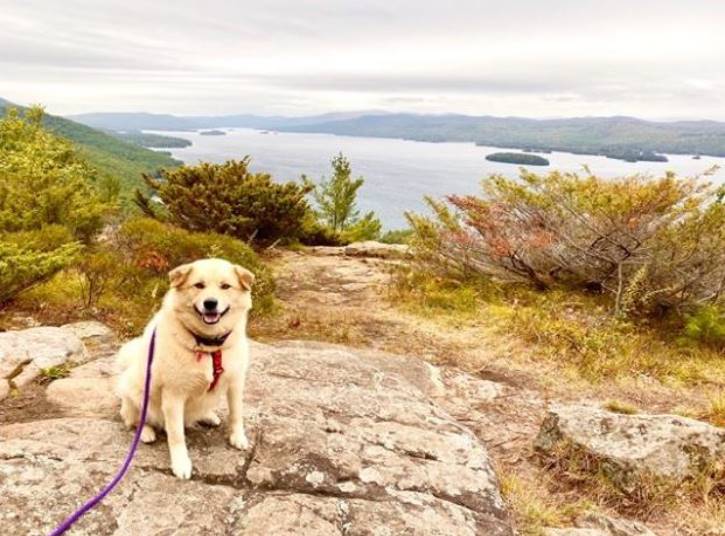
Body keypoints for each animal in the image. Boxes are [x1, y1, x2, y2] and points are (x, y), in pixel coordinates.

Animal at [116, 258, 255, 480]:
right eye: (199, 285)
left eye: (225, 286)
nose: (210, 303)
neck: (208, 347)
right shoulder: (174, 396)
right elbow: (176, 435)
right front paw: (181, 464)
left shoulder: (235, 383)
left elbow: (236, 413)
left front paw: (237, 437)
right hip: (135, 393)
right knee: (135, 420)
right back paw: (146, 432)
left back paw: (209, 416)